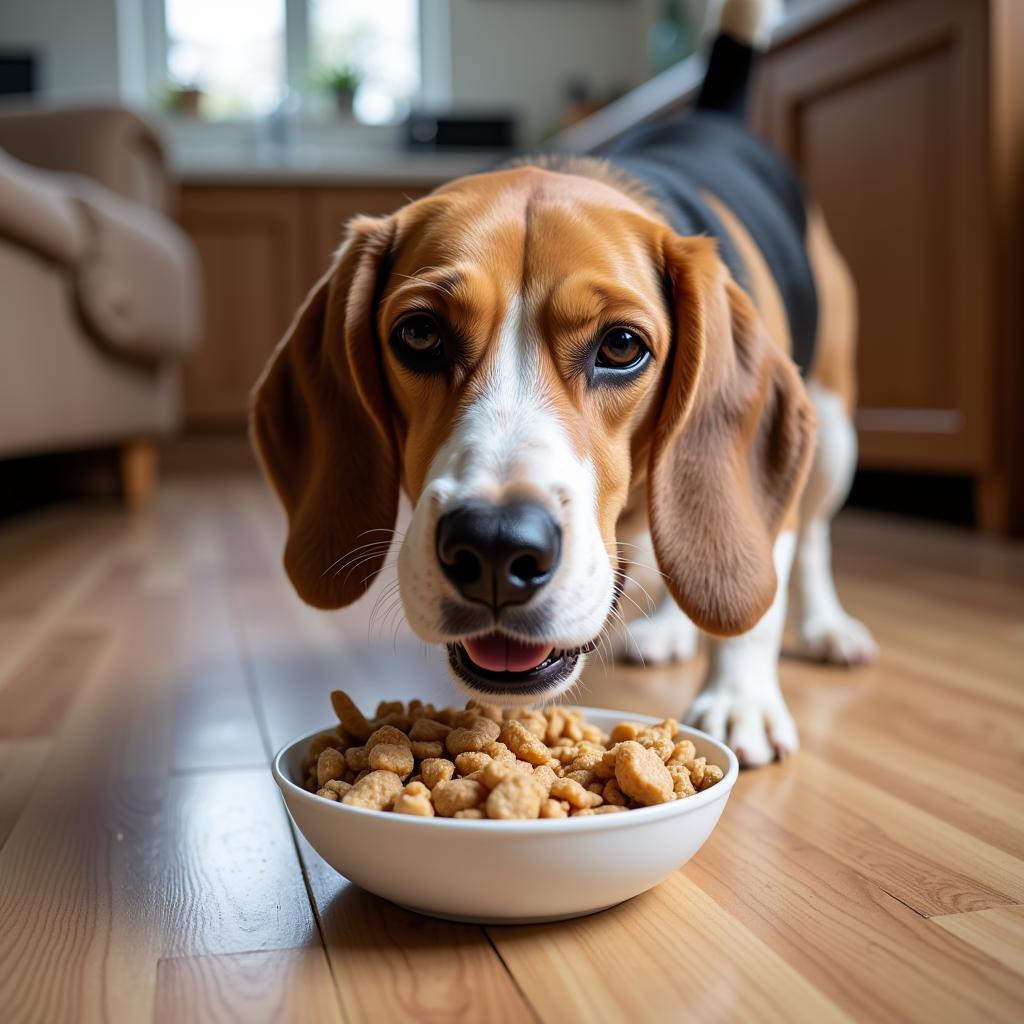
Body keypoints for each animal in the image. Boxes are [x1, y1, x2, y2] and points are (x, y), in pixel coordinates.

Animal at [251, 0, 876, 765]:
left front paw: (739, 698)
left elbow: (758, 591)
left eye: (623, 345)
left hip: (832, 428)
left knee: (806, 537)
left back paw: (826, 628)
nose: (494, 546)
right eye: (419, 334)